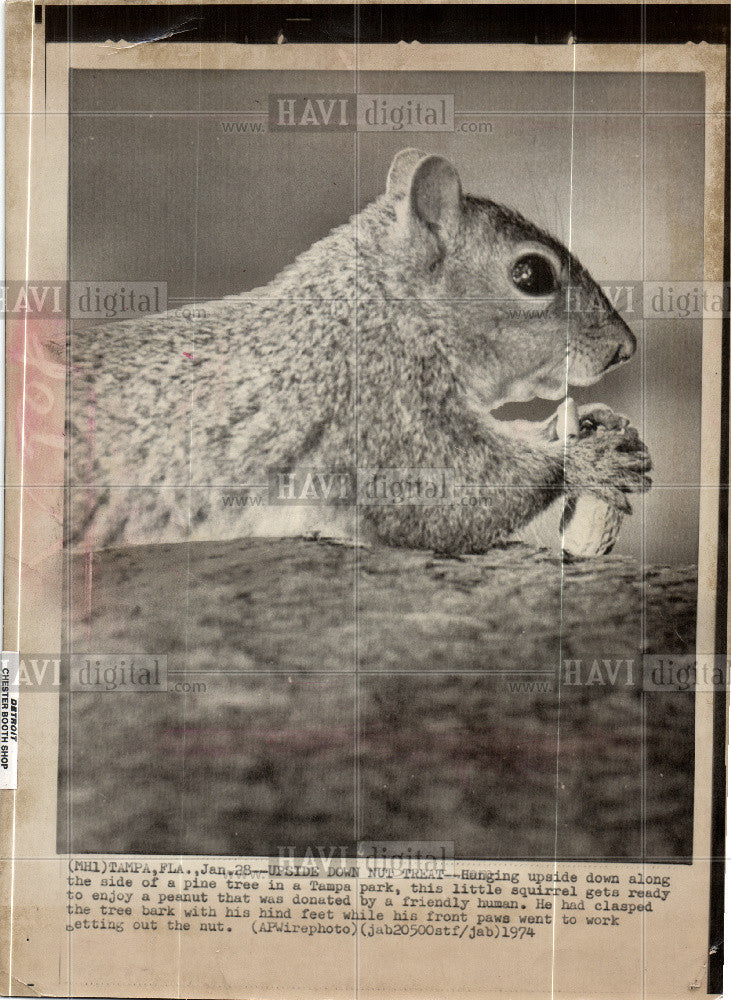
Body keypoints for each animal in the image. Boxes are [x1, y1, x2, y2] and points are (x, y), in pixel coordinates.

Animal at [70, 148, 652, 556]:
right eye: (532, 274)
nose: (625, 349)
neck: (382, 310)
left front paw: (585, 424)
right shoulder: (377, 406)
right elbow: (444, 494)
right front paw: (589, 459)